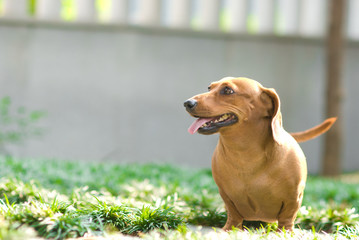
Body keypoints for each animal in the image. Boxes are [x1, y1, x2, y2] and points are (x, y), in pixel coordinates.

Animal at [186, 77, 338, 231]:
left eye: (228, 90)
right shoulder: (226, 195)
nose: (187, 103)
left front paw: (284, 231)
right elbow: (233, 213)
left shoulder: (294, 197)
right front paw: (230, 228)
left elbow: (287, 217)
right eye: (209, 88)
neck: (245, 155)